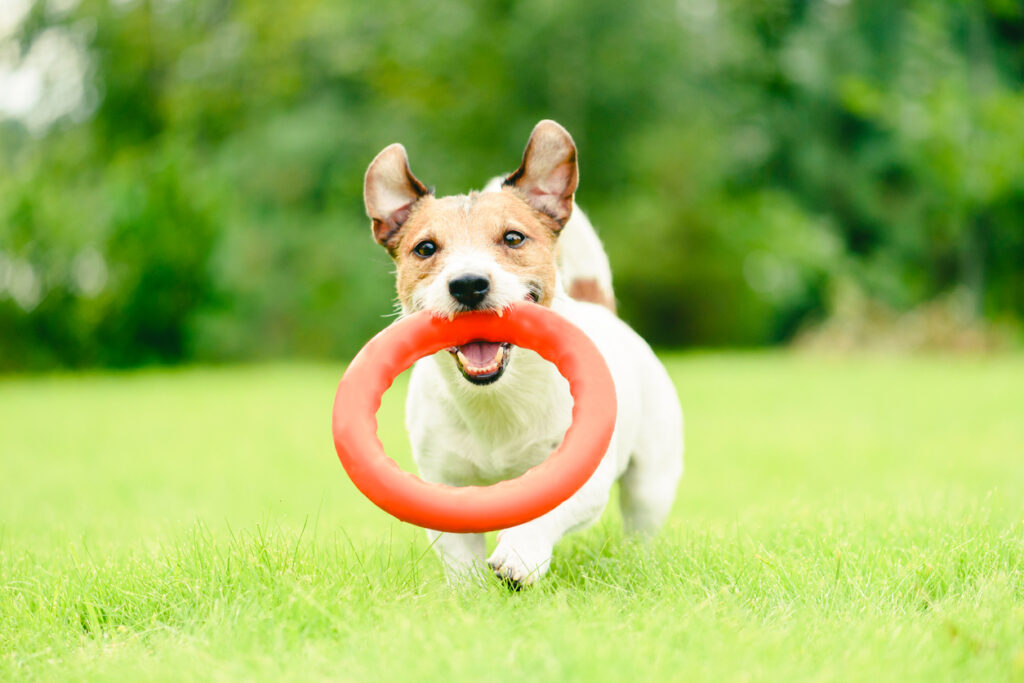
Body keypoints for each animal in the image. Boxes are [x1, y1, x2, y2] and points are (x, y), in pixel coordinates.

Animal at [364, 118, 684, 589]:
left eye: (513, 238)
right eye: (425, 248)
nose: (468, 284)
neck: (496, 399)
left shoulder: (581, 475)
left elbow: (547, 510)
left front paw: (518, 554)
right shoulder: (445, 484)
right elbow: (458, 550)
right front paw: (469, 592)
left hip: (652, 481)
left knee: (641, 526)